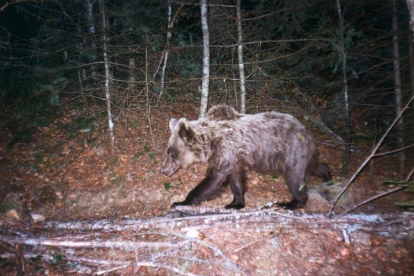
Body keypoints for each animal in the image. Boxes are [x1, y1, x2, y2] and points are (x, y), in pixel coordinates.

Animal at [160, 104, 332, 210]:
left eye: (170, 152)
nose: (163, 170)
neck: (209, 143)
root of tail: (306, 131)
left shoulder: (224, 150)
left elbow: (215, 178)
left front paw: (180, 202)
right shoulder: (233, 158)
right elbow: (235, 179)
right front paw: (236, 202)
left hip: (290, 151)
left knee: (294, 176)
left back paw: (290, 203)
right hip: (300, 153)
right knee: (312, 165)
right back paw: (327, 176)